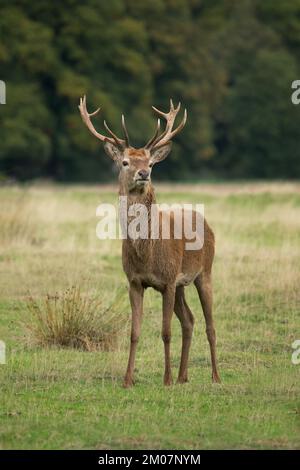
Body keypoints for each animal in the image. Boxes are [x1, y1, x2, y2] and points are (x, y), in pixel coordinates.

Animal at [78, 94, 221, 386]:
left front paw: (165, 380)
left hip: (205, 271)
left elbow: (166, 331)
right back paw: (183, 376)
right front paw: (127, 379)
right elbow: (135, 332)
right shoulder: (134, 281)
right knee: (189, 320)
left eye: (151, 163)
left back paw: (214, 376)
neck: (146, 254)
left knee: (210, 324)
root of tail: (205, 222)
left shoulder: (167, 280)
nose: (144, 173)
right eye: (125, 162)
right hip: (181, 284)